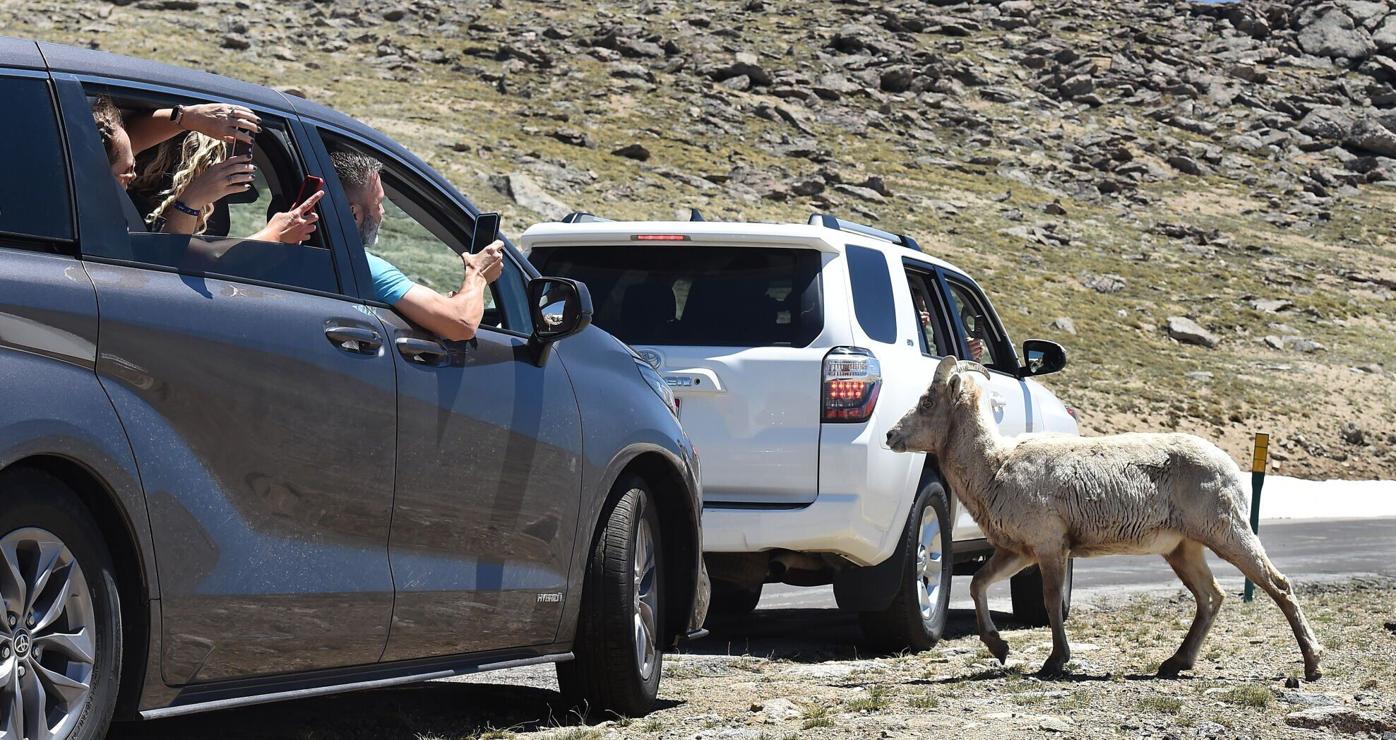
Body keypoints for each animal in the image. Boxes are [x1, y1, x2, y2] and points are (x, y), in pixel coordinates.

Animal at [884, 356, 1322, 681]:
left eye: (927, 401)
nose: (891, 435)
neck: (995, 466)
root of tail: (1229, 466)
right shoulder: (1018, 552)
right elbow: (977, 584)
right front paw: (1001, 650)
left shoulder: (1049, 548)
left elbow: (1050, 601)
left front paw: (1054, 663)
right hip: (1183, 550)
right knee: (1210, 596)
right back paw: (1173, 664)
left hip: (1227, 532)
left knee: (1277, 585)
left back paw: (1312, 666)